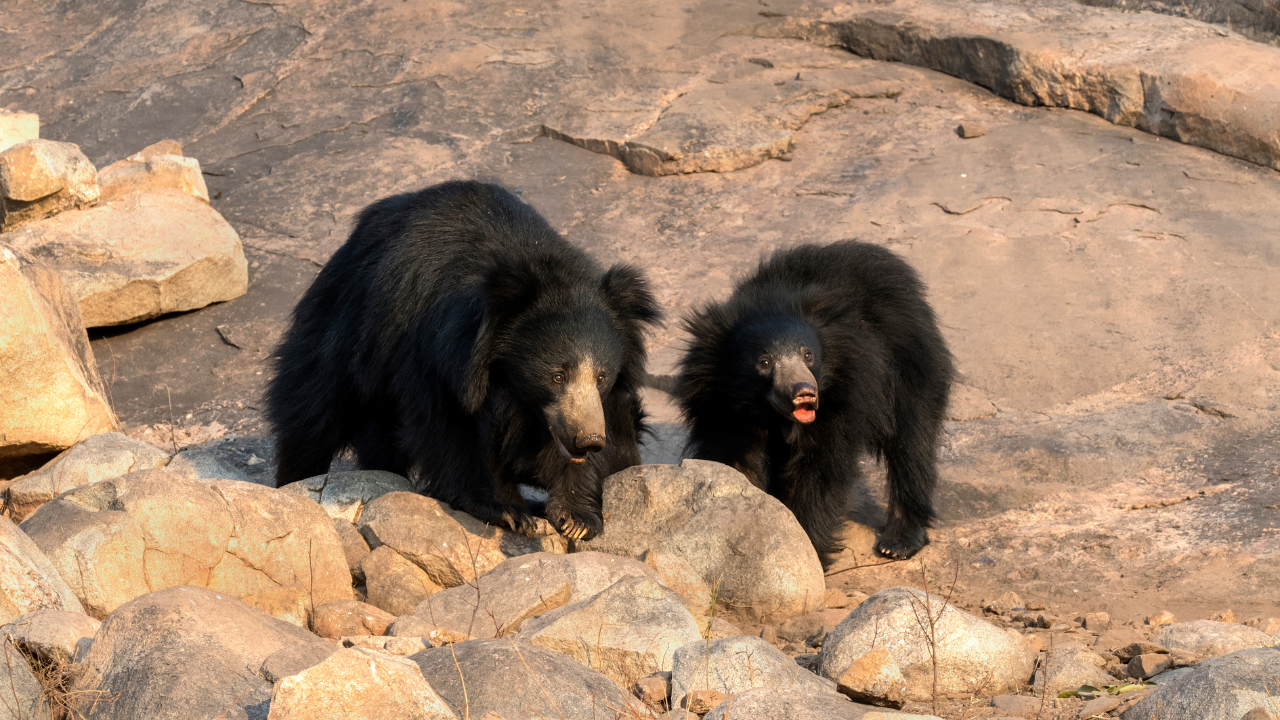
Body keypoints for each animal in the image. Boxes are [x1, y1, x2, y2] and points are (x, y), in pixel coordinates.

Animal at [265, 180, 661, 541]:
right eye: (557, 376)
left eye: (602, 377)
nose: (588, 440)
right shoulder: (434, 347)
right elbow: (448, 420)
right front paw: (504, 510)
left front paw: (576, 518)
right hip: (344, 327)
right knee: (313, 410)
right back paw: (296, 480)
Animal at [673, 240, 954, 564]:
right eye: (765, 362)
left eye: (808, 354)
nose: (805, 392)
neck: (772, 415)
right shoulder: (719, 406)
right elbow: (733, 459)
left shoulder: (842, 395)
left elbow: (818, 470)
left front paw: (807, 547)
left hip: (910, 367)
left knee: (912, 443)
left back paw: (898, 541)